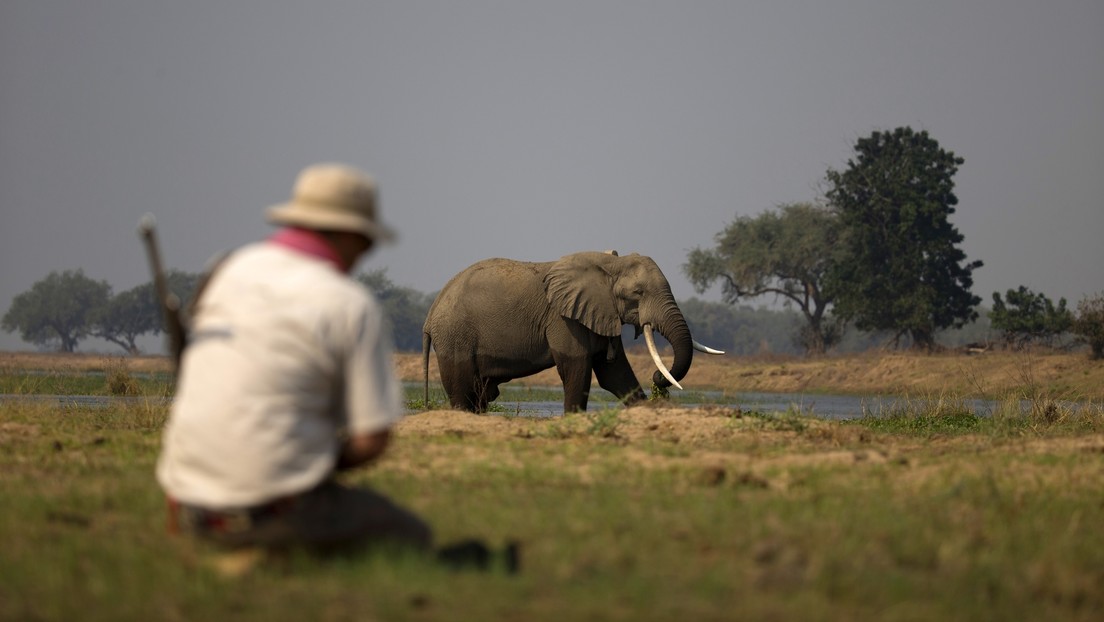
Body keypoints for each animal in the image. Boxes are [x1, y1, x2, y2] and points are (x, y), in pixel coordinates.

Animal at [421, 248, 724, 413]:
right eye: (638, 293)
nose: (658, 379)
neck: (610, 264)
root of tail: (430, 316)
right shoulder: (563, 318)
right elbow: (576, 366)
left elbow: (615, 374)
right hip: (455, 337)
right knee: (462, 392)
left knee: (481, 394)